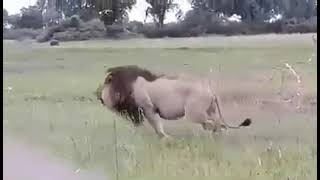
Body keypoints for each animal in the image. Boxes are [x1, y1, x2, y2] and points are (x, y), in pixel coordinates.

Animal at [96, 65, 251, 139]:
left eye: (105, 83)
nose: (97, 95)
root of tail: (210, 92)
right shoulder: (140, 112)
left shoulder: (148, 108)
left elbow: (157, 126)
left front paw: (165, 138)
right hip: (209, 111)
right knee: (218, 124)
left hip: (194, 114)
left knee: (214, 125)